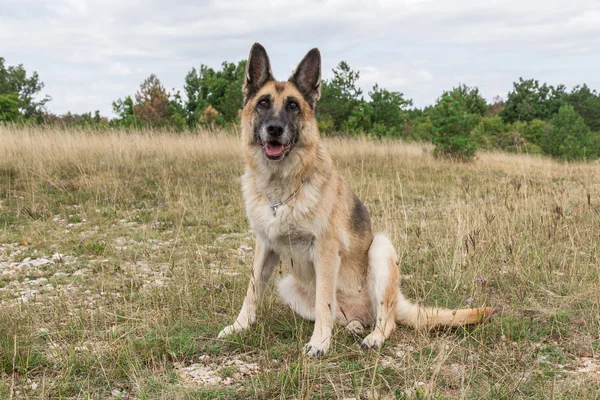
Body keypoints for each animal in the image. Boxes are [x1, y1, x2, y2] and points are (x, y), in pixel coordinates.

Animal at [218, 43, 494, 356]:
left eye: (292, 106)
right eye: (263, 103)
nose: (275, 129)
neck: (282, 188)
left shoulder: (325, 250)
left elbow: (324, 301)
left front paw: (319, 343)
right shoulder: (265, 246)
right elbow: (252, 291)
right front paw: (239, 326)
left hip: (381, 249)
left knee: (386, 319)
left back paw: (373, 336)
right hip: (288, 285)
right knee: (343, 317)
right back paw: (352, 327)